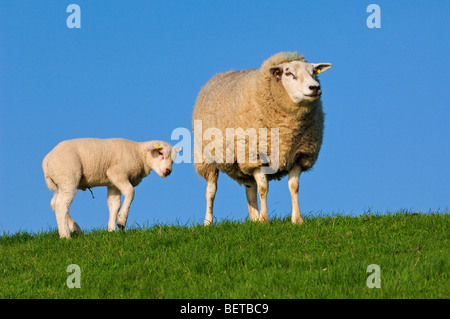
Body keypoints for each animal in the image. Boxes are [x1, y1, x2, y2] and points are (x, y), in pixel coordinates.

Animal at [41, 139, 181, 239]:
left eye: (173, 160)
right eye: (160, 153)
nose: (168, 171)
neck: (138, 153)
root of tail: (47, 158)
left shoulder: (112, 183)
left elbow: (114, 204)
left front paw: (111, 229)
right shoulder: (117, 173)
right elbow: (130, 192)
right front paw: (122, 221)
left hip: (60, 183)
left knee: (54, 203)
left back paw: (75, 228)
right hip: (68, 176)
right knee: (62, 205)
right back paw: (65, 235)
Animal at [192, 52, 332, 225]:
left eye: (314, 72)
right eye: (288, 73)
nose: (315, 87)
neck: (287, 128)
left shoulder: (299, 156)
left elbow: (294, 187)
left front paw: (297, 220)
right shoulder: (256, 155)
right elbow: (264, 188)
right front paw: (265, 220)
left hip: (242, 162)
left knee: (250, 188)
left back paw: (254, 219)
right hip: (206, 157)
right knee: (211, 191)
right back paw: (208, 222)